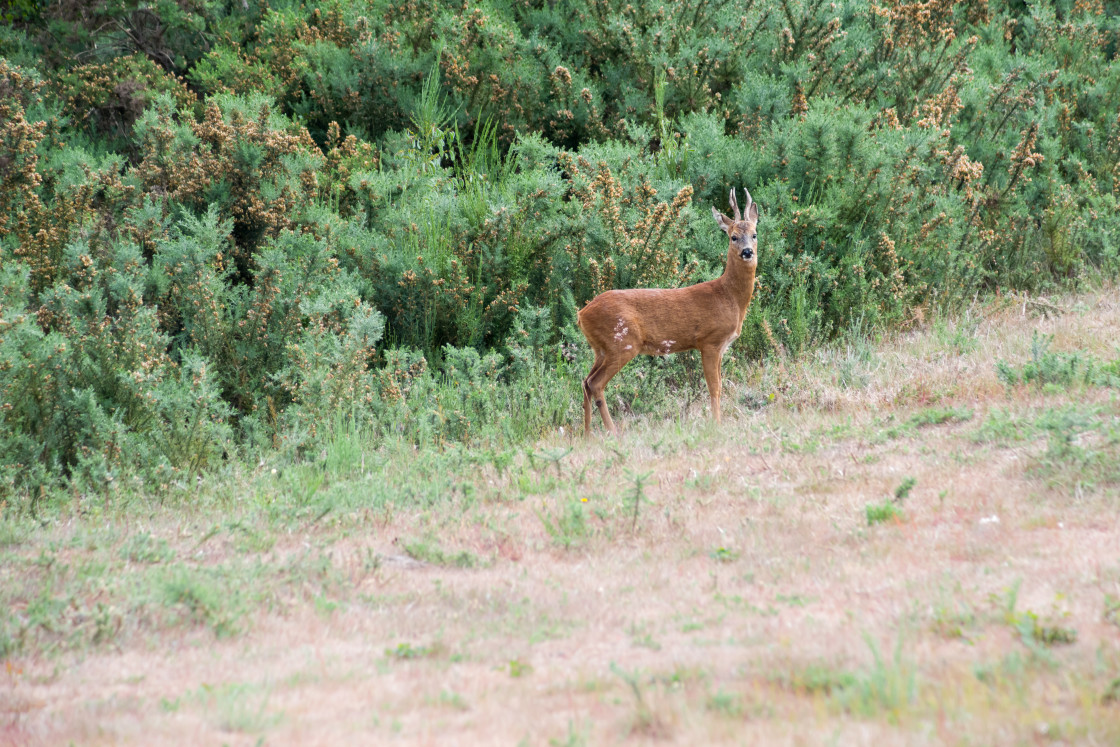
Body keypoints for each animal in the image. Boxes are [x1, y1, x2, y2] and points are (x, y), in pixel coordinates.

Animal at [577, 187, 761, 434]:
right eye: (733, 237)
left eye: (754, 234)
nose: (747, 252)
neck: (728, 296)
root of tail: (581, 314)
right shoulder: (709, 341)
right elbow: (714, 387)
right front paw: (716, 425)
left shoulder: (721, 346)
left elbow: (720, 385)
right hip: (622, 343)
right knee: (595, 383)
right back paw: (612, 432)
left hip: (601, 349)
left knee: (586, 382)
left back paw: (587, 434)